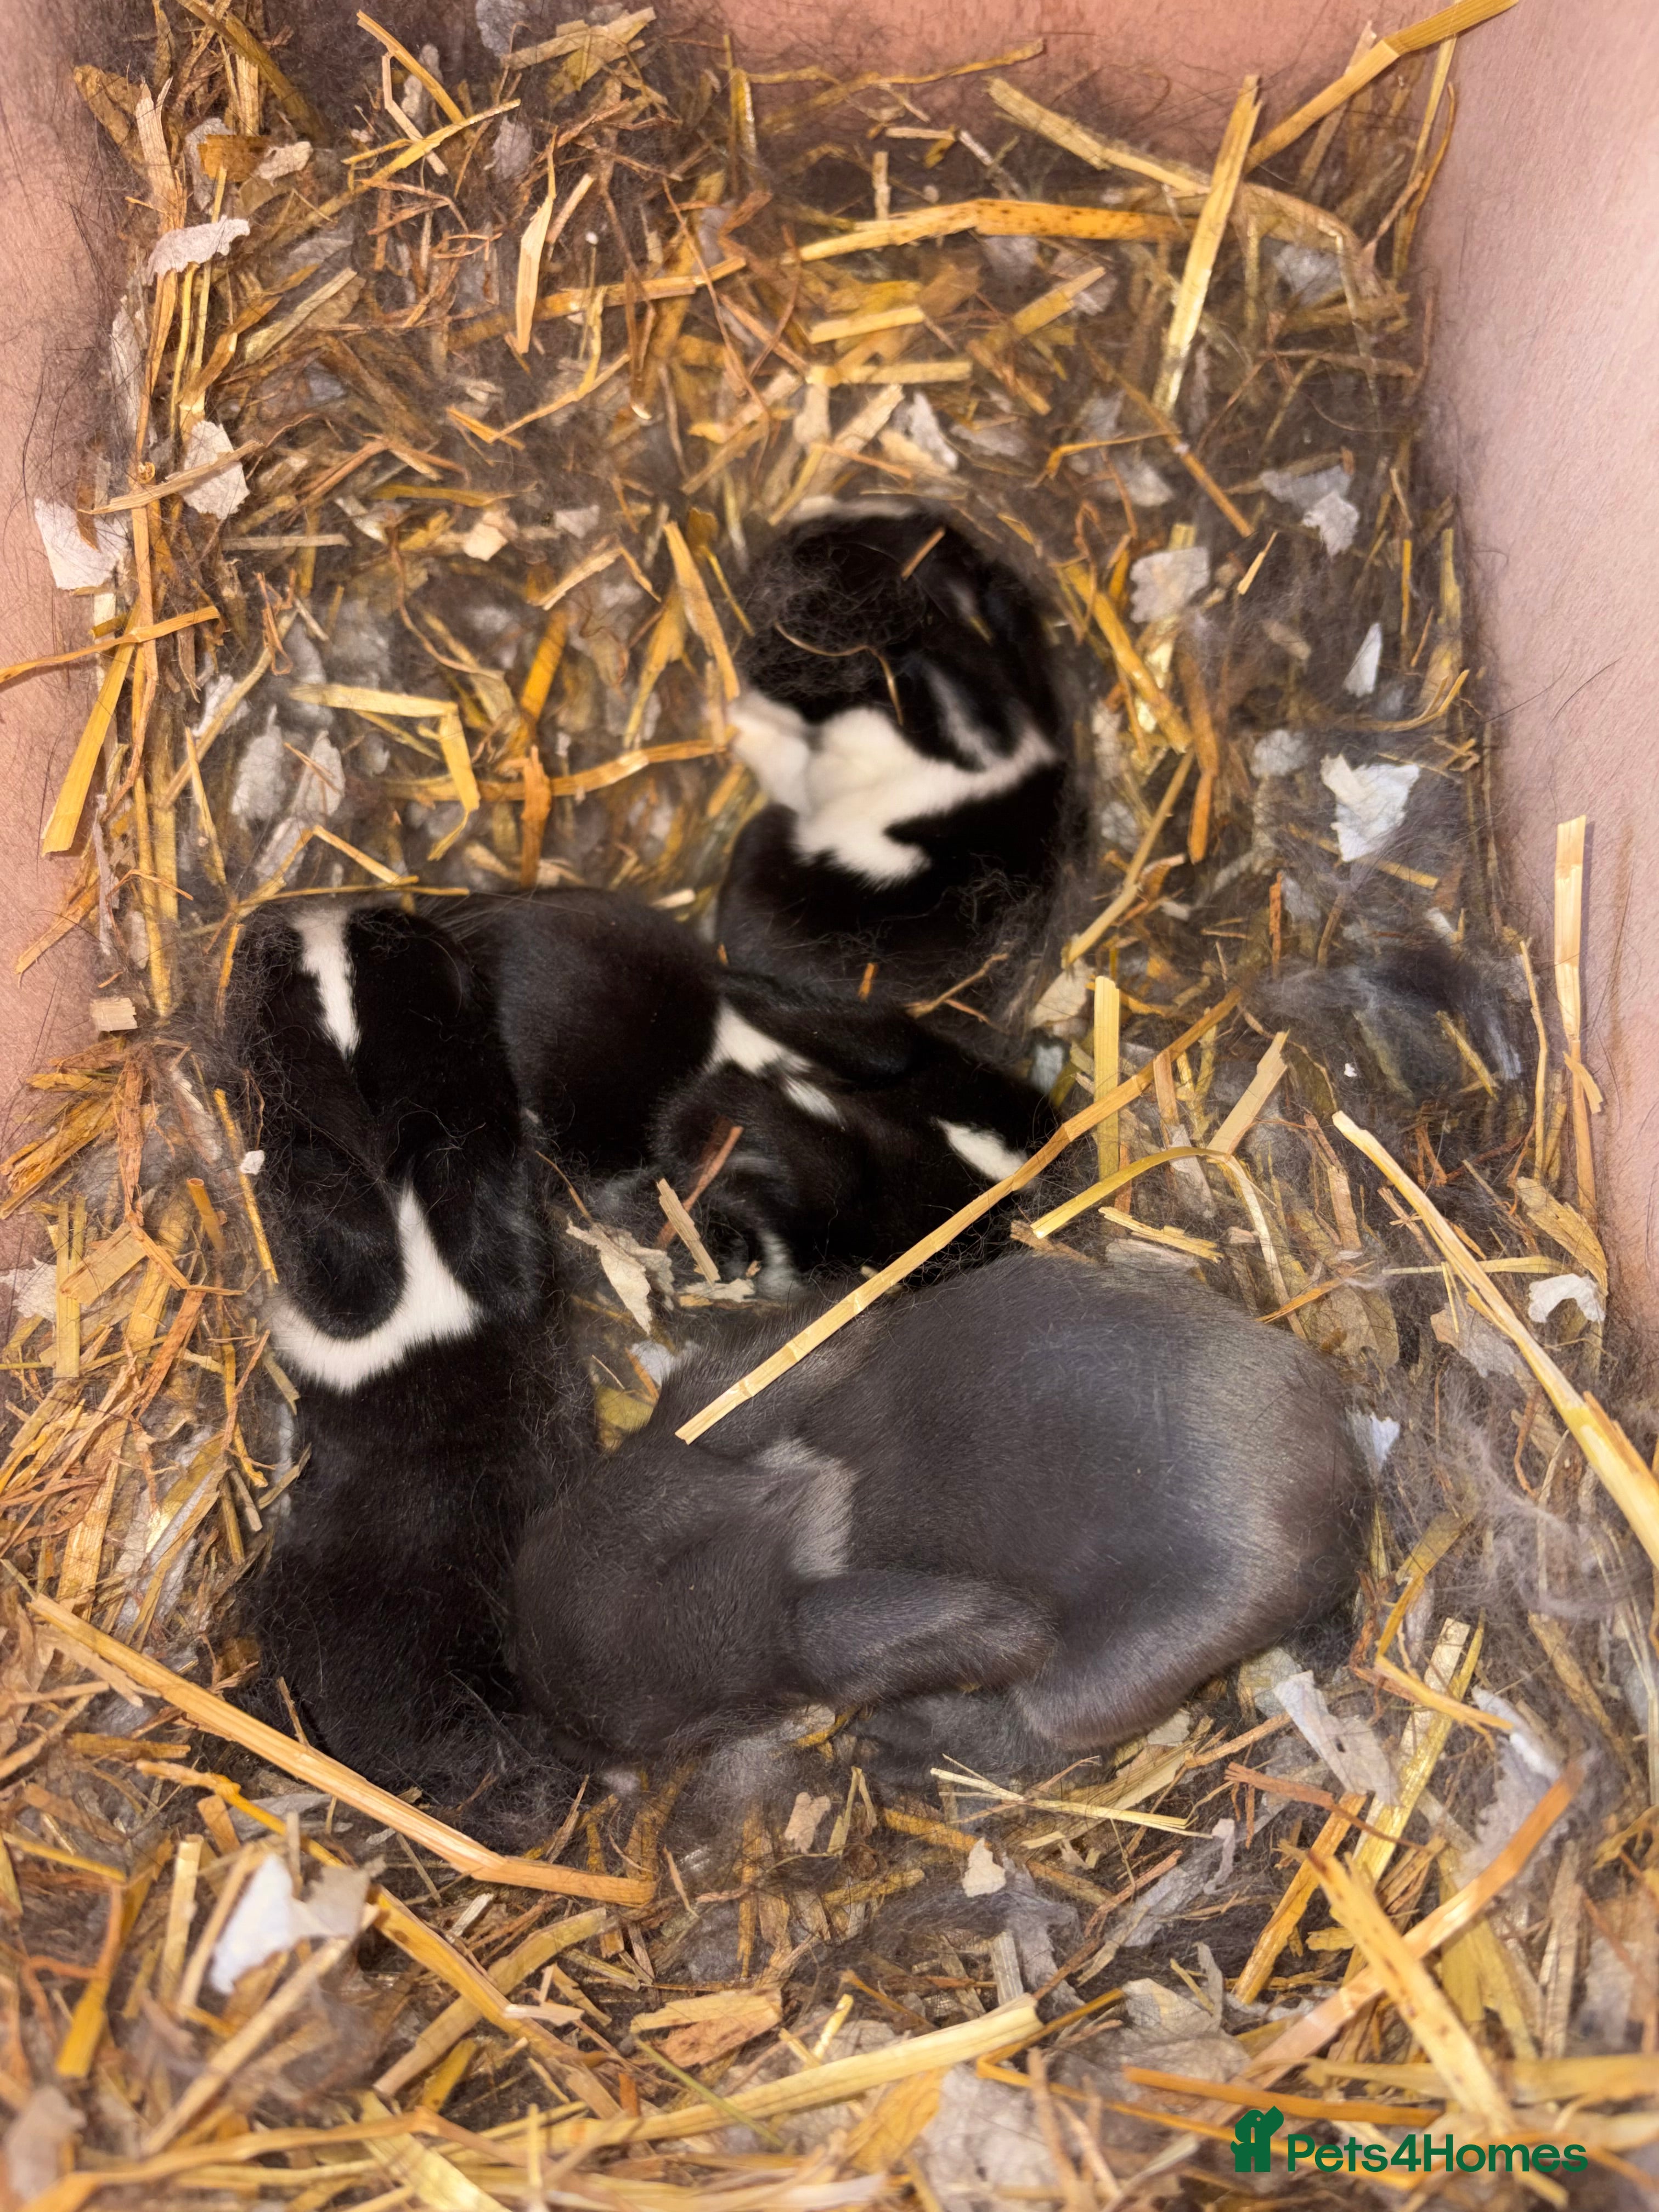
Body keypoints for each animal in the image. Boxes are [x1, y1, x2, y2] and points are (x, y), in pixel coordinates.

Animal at [510, 1250, 1368, 1778]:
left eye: (683, 1737)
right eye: (536, 1533)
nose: (559, 1743)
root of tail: (1339, 1489)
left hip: (1108, 1678)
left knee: (1038, 1730)